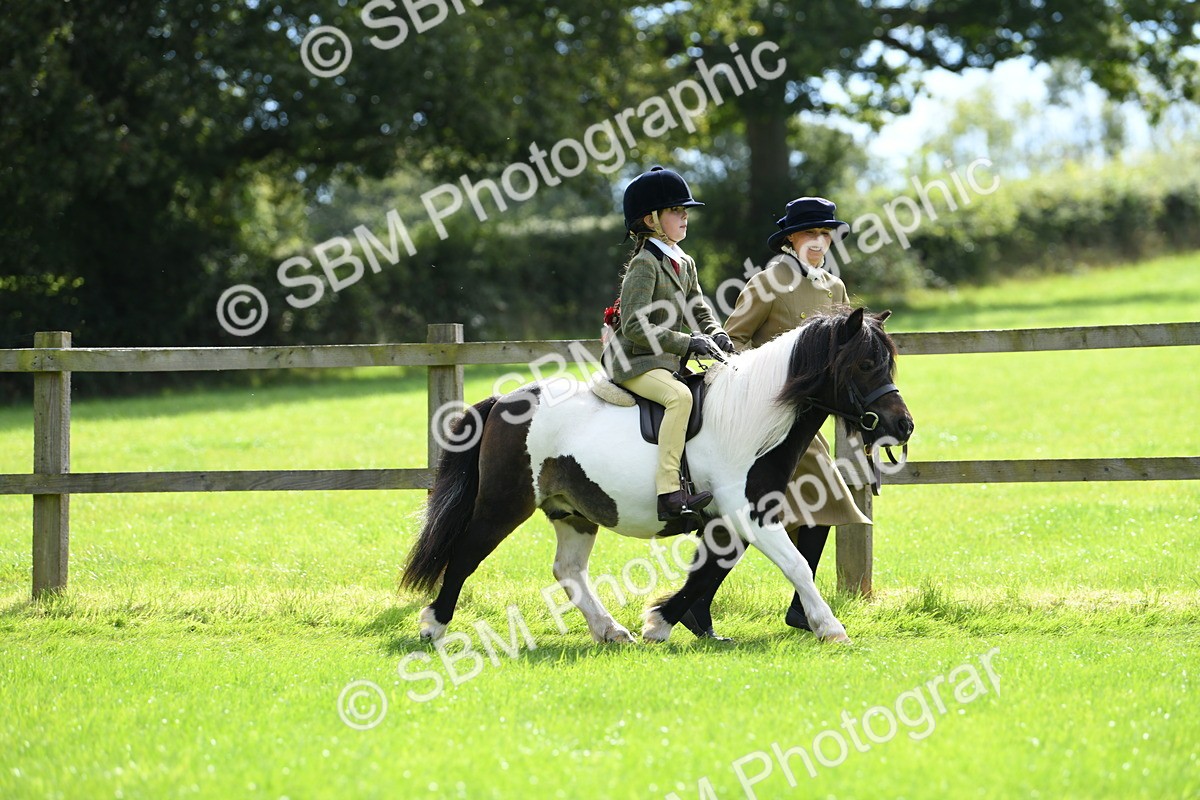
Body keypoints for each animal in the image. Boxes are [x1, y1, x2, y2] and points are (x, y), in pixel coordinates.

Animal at [400, 307, 914, 644]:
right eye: (866, 363)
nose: (903, 425)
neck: (751, 417)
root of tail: (504, 401)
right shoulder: (746, 514)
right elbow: (793, 566)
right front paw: (831, 628)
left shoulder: (732, 518)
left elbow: (710, 569)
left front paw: (661, 622)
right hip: (504, 504)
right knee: (465, 553)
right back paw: (434, 626)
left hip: (573, 512)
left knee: (568, 570)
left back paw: (610, 630)